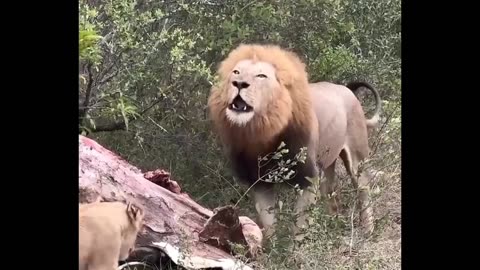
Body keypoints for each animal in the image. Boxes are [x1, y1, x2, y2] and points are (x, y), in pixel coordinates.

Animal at [208, 43, 380, 239]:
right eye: (236, 72)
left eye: (261, 75)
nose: (238, 84)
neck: (262, 133)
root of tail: (347, 89)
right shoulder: (260, 183)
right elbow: (270, 225)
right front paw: (271, 246)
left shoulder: (309, 179)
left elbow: (299, 225)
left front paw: (298, 245)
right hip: (328, 164)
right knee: (331, 194)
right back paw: (332, 227)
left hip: (357, 159)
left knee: (364, 193)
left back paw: (367, 232)